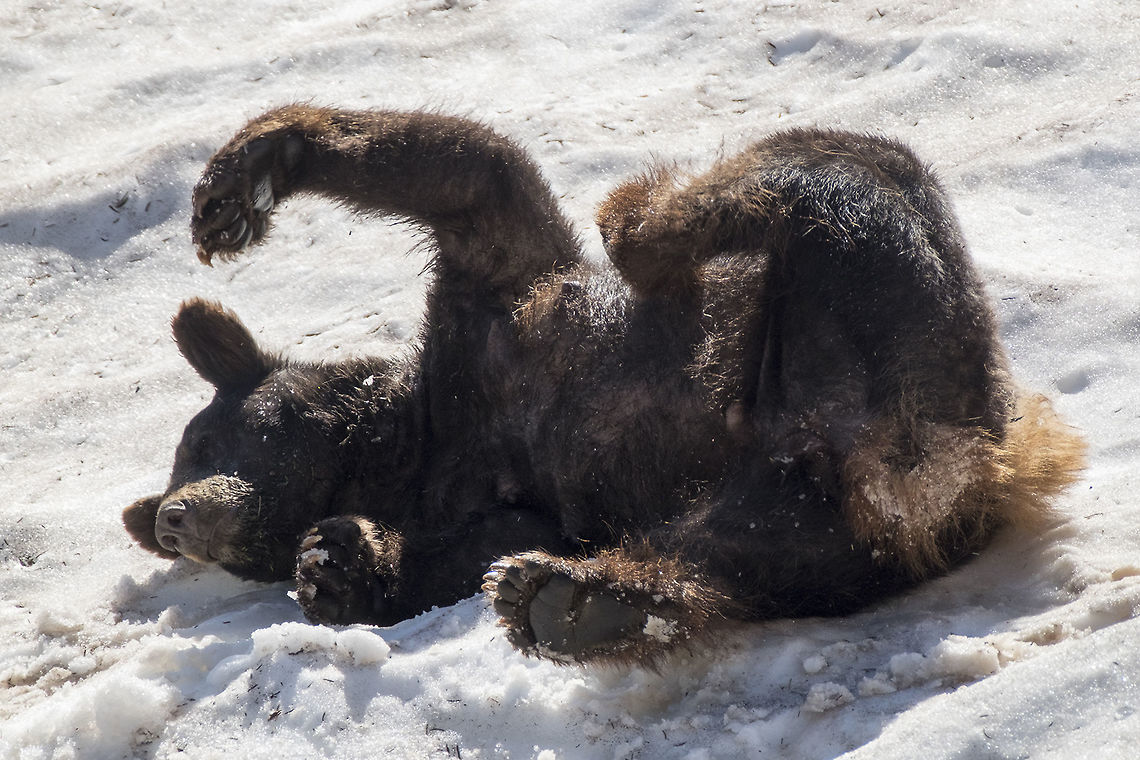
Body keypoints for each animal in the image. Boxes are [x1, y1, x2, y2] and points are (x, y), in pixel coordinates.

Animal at [123, 105, 1085, 666]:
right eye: (176, 475)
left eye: (205, 441)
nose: (171, 518)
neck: (408, 442)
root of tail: (990, 460)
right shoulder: (494, 496)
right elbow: (473, 550)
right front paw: (335, 565)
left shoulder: (499, 305)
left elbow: (470, 174)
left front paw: (244, 176)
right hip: (820, 504)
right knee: (731, 546)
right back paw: (576, 601)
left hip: (876, 292)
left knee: (822, 168)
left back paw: (642, 219)